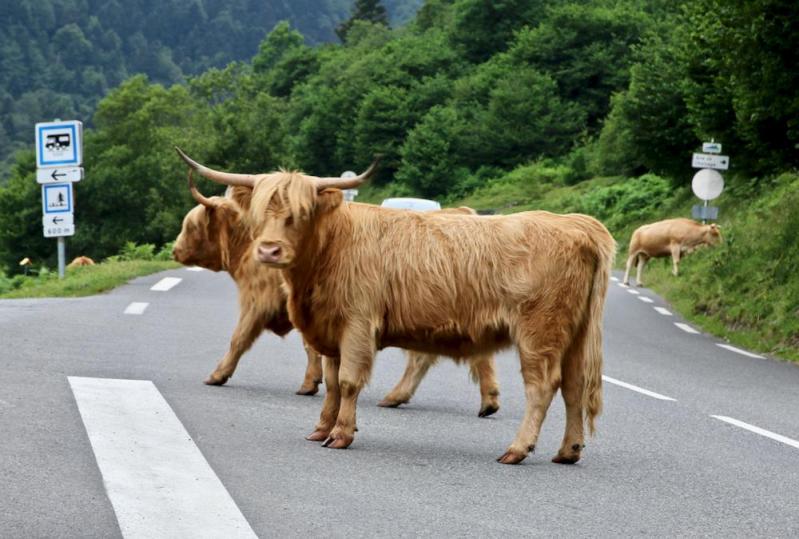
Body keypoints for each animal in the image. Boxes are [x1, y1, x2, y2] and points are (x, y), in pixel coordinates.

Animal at [173, 173, 500, 418]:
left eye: (190, 225)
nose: (175, 251)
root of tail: (463, 212)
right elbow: (312, 348)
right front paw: (312, 383)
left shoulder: (258, 302)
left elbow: (239, 339)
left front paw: (217, 375)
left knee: (428, 357)